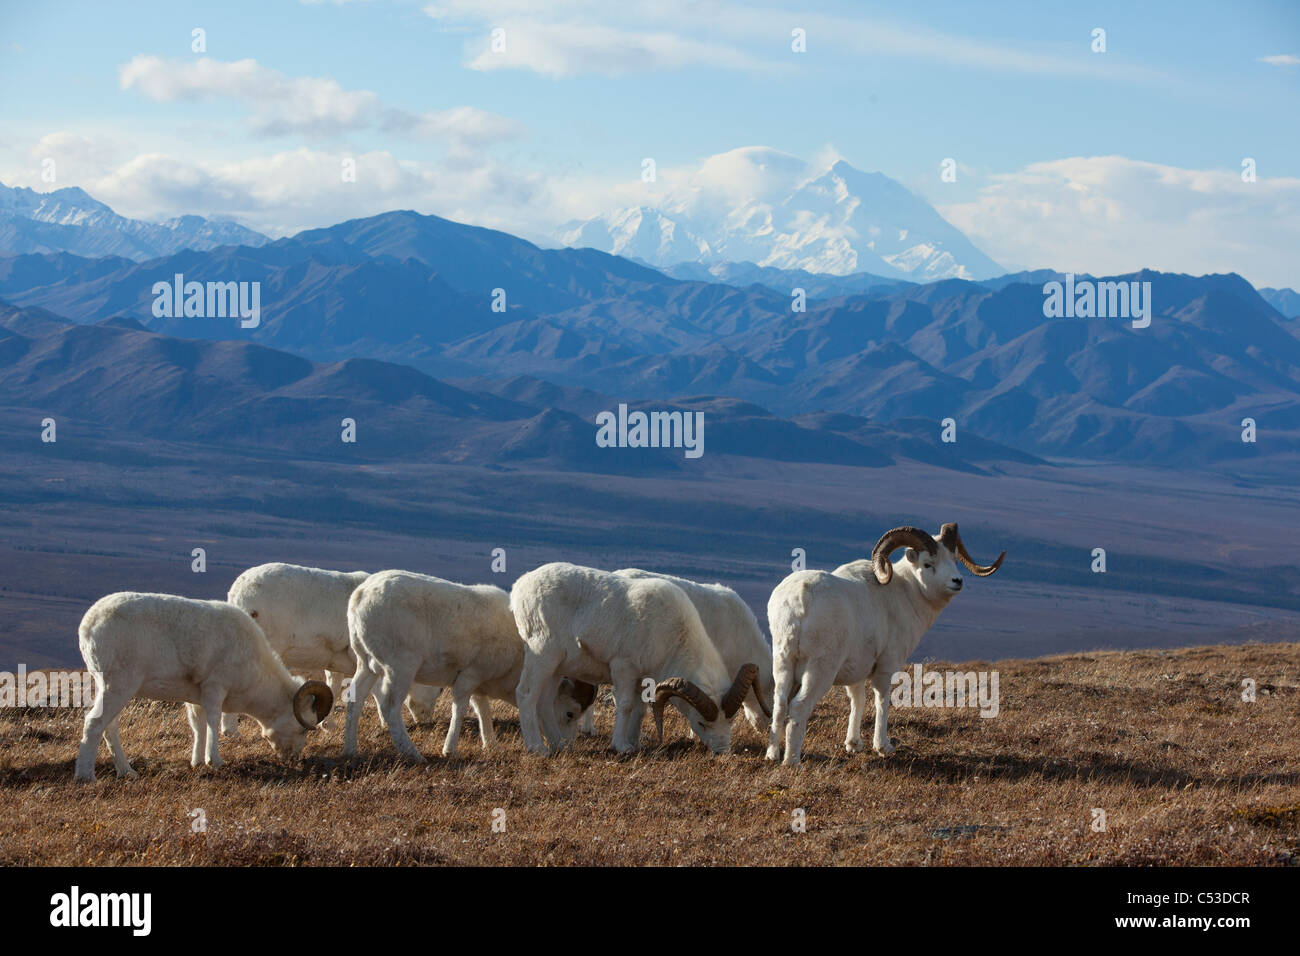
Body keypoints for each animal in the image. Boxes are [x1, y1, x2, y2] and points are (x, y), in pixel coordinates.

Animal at [73, 590, 332, 785]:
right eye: (302, 729)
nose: (293, 759)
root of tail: (88, 626)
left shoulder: (195, 698)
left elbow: (198, 726)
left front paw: (196, 762)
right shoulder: (215, 689)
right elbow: (212, 722)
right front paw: (214, 761)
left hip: (113, 689)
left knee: (110, 728)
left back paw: (127, 772)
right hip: (118, 686)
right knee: (94, 723)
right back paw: (86, 776)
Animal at [340, 567, 595, 764]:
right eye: (570, 713)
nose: (567, 746)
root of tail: (360, 596)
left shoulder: (478, 684)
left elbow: (482, 709)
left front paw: (490, 744)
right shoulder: (469, 676)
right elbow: (460, 708)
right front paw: (449, 750)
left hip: (367, 665)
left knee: (356, 699)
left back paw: (350, 750)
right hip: (399, 669)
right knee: (390, 708)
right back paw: (414, 754)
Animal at [504, 561, 754, 754]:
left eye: (730, 720)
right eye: (701, 723)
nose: (722, 751)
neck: (672, 634)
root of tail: (520, 587)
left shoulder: (642, 680)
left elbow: (639, 710)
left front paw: (634, 744)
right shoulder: (624, 668)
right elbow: (625, 706)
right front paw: (621, 746)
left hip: (557, 667)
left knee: (545, 701)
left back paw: (560, 746)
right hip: (542, 657)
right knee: (526, 695)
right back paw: (537, 748)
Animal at [764, 528, 998, 764]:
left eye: (954, 560)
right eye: (927, 564)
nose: (956, 581)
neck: (906, 594)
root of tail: (799, 602)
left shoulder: (857, 670)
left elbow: (857, 700)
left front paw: (853, 744)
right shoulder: (886, 666)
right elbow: (882, 701)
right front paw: (883, 747)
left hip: (783, 663)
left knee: (780, 705)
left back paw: (772, 755)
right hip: (820, 670)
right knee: (799, 707)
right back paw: (792, 761)